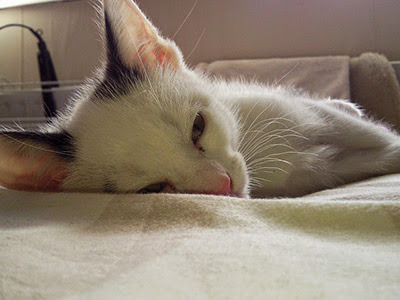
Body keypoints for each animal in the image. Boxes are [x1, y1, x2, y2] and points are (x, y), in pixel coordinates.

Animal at [0, 0, 398, 199]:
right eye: (153, 188)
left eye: (197, 126)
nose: (223, 184)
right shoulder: (318, 174)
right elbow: (382, 153)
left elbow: (372, 135)